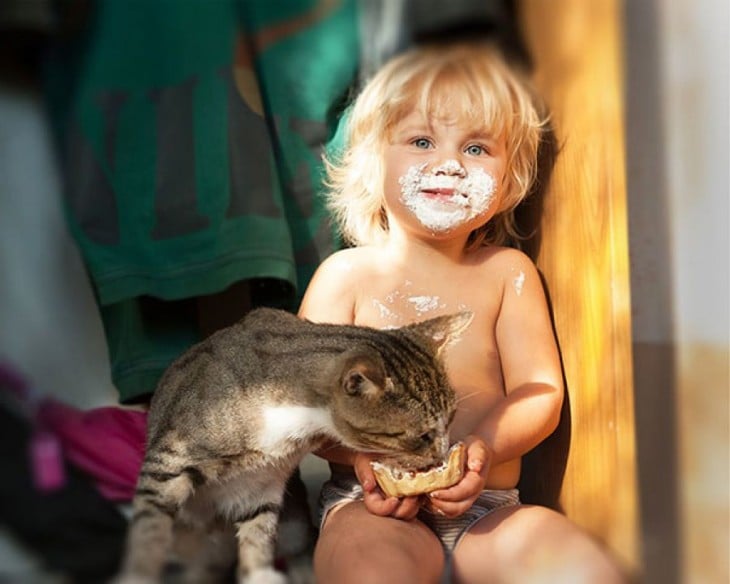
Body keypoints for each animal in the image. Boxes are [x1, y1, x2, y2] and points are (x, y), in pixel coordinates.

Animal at [111, 306, 470, 584]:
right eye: (422, 435)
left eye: (452, 418)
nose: (442, 452)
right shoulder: (167, 462)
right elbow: (149, 532)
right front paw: (138, 574)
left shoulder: (261, 486)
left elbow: (257, 537)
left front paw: (261, 575)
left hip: (293, 527)